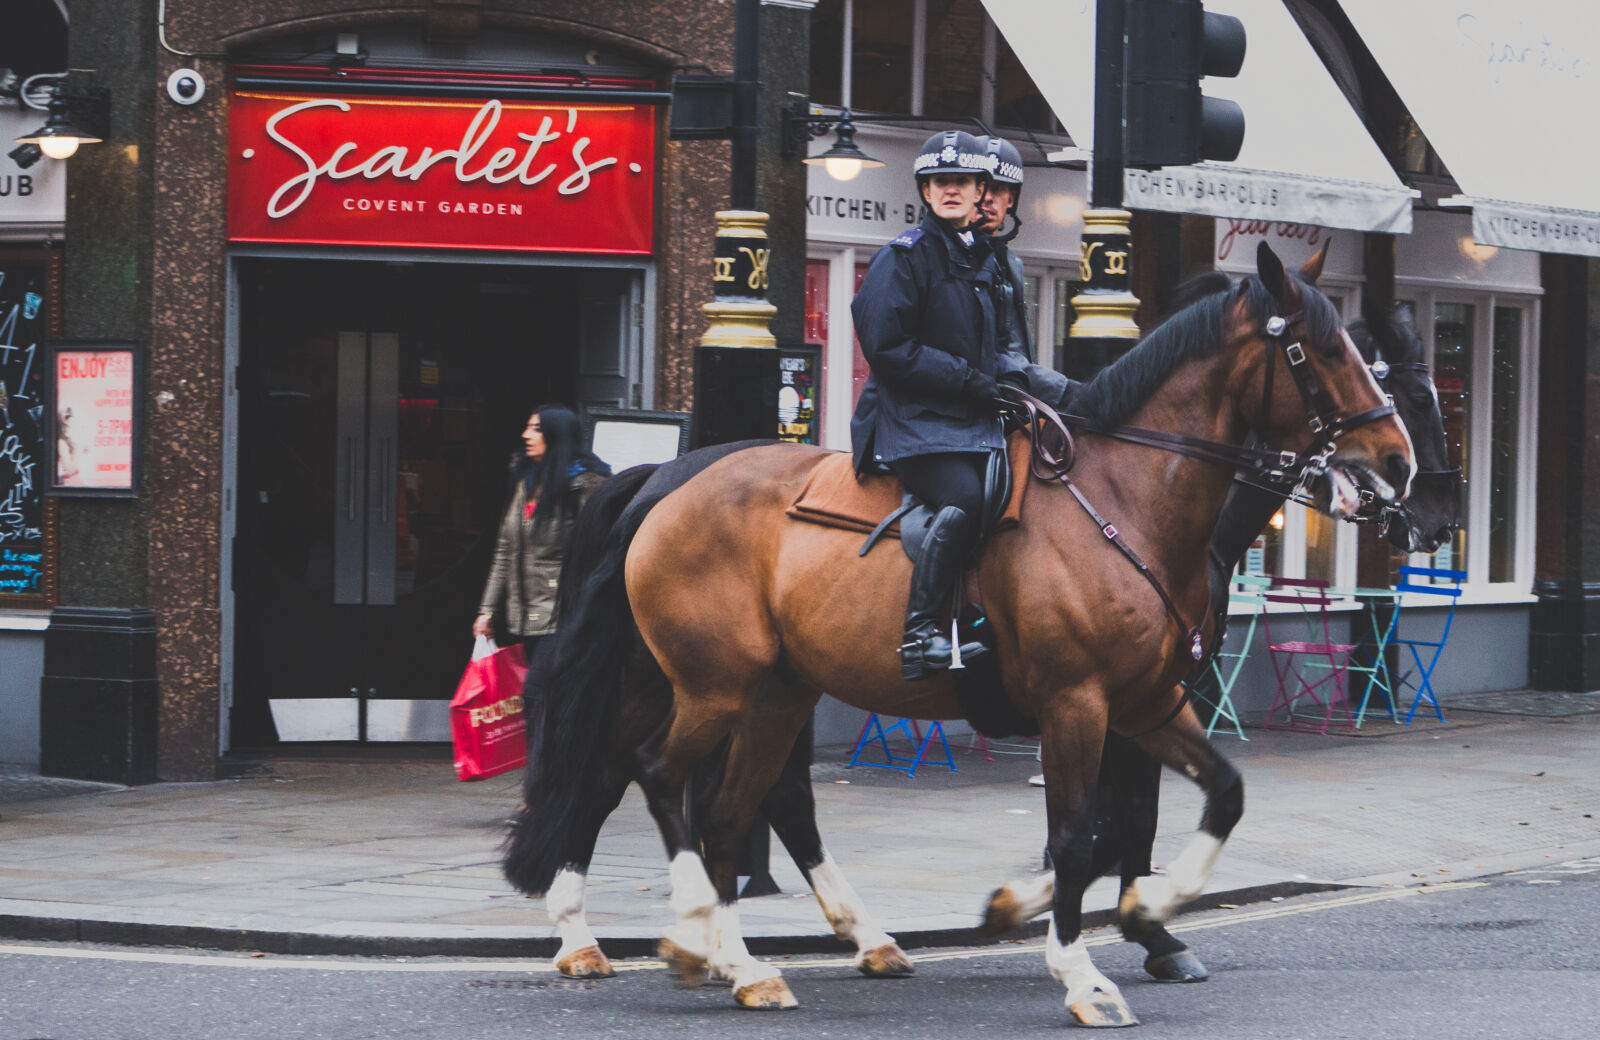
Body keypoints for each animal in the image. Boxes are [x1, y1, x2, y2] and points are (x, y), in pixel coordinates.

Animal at [506, 242, 1415, 1024]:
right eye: (1319, 351)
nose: (1400, 465)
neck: (1126, 502)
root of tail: (668, 484)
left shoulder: (1150, 702)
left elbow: (1212, 798)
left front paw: (1135, 909)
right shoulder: (1076, 703)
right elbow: (1079, 834)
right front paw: (1083, 971)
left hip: (769, 689)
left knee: (723, 806)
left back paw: (742, 962)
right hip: (711, 683)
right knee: (656, 775)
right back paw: (686, 931)